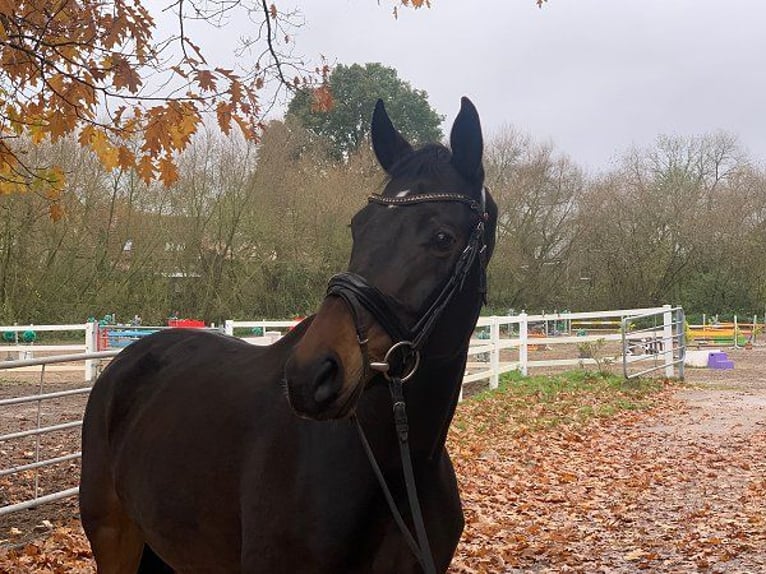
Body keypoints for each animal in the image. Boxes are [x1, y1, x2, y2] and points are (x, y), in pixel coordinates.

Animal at [78, 97, 498, 572]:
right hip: (116, 541)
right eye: (358, 226)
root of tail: (128, 360)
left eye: (443, 237)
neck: (395, 466)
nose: (311, 375)